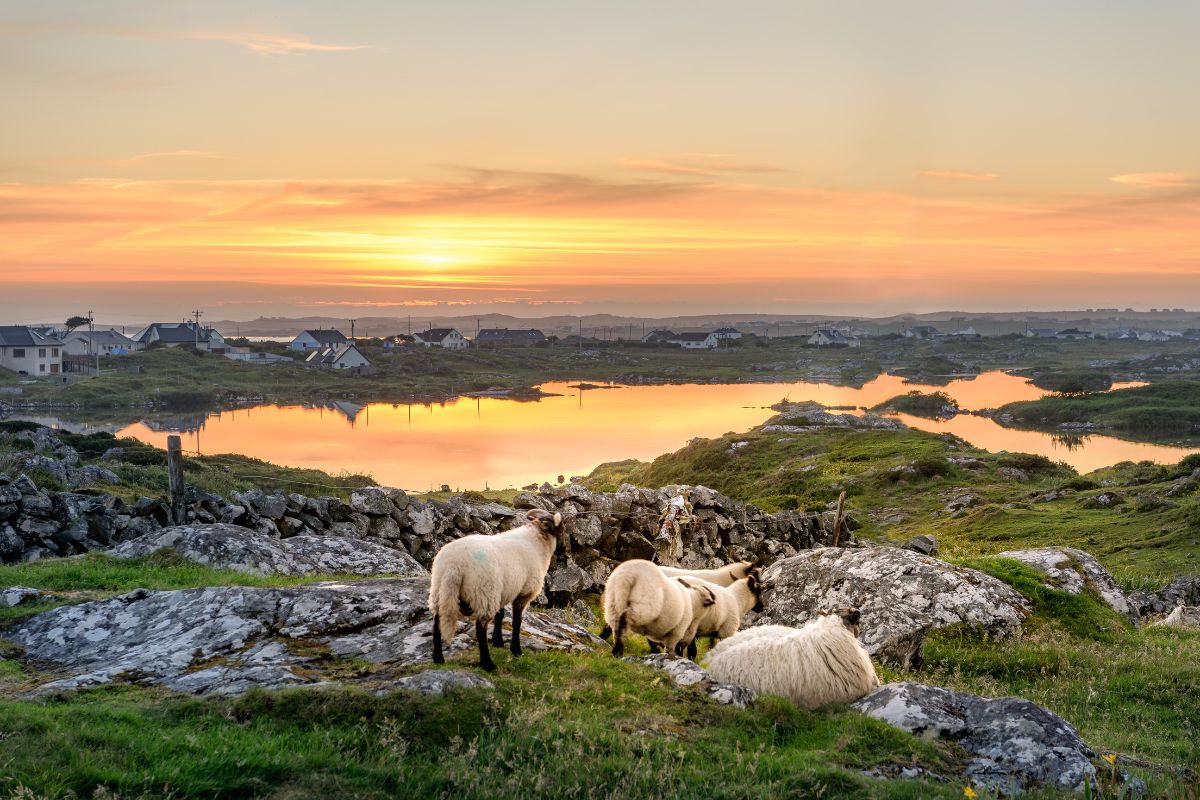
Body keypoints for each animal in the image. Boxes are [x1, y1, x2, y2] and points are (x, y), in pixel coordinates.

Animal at [429, 510, 564, 671]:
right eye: (561, 530)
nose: (563, 551)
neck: (537, 543)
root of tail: (454, 565)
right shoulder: (524, 592)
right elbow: (517, 621)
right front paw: (516, 650)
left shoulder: (503, 591)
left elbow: (500, 615)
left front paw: (498, 641)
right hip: (484, 591)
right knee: (480, 628)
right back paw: (488, 664)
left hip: (440, 590)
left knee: (437, 623)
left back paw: (438, 658)